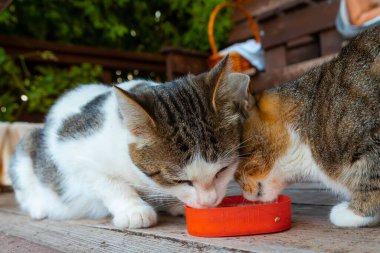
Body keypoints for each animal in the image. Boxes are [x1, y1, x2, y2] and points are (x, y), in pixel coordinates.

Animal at [8, 56, 251, 228]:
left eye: (223, 170)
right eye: (179, 180)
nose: (208, 201)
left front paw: (175, 205)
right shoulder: (67, 147)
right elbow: (107, 181)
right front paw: (133, 209)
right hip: (27, 146)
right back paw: (38, 207)